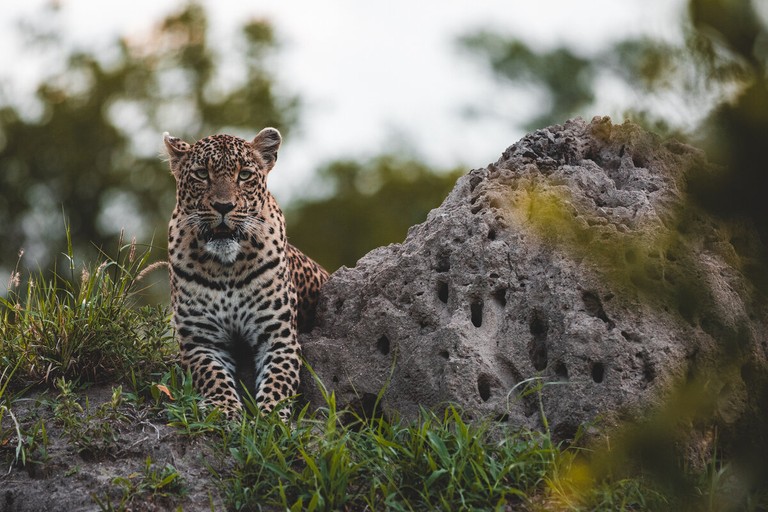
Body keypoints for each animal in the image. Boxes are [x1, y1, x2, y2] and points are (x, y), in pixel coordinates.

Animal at [163, 127, 329, 421]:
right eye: (202, 174)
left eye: (244, 175)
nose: (223, 206)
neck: (225, 268)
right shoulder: (201, 342)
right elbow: (212, 376)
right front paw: (225, 410)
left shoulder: (278, 338)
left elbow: (278, 382)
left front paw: (270, 418)